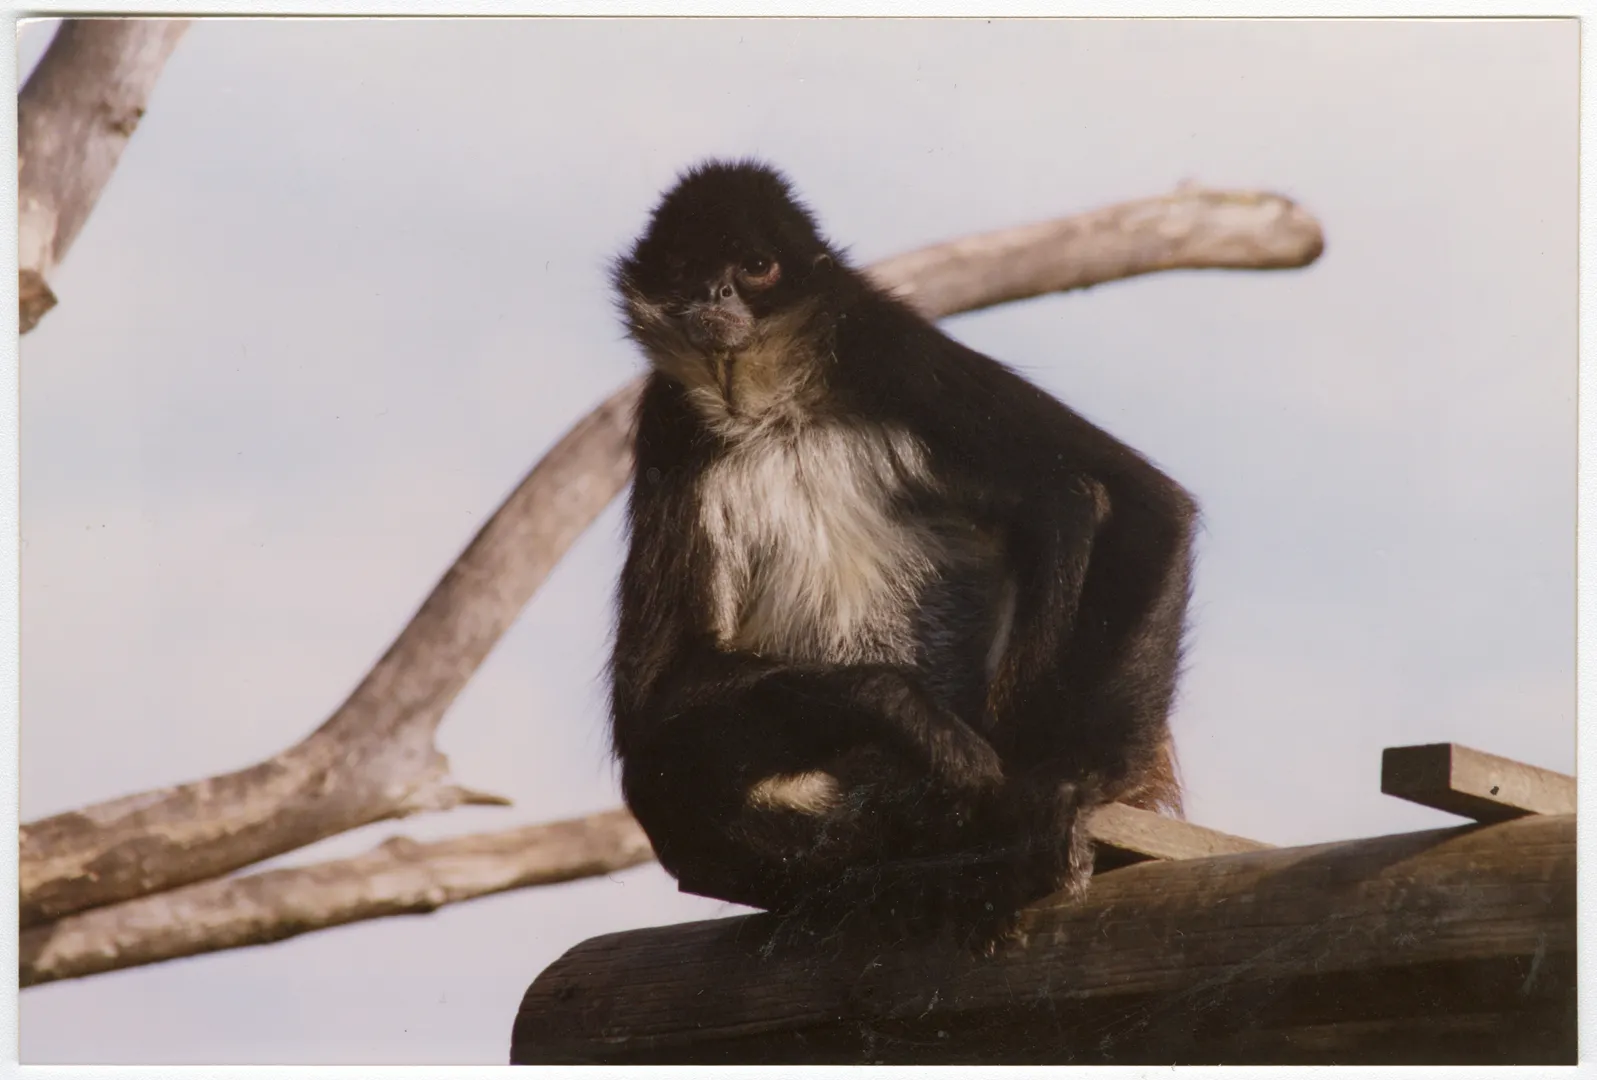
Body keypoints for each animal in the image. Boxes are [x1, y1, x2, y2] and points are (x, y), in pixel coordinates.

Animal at [607, 159, 1196, 946]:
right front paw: (900, 709)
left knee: (1066, 494)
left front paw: (1079, 782)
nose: (716, 293)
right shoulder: (668, 421)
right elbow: (648, 704)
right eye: (685, 269)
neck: (774, 406)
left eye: (754, 266)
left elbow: (1147, 500)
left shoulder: (887, 345)